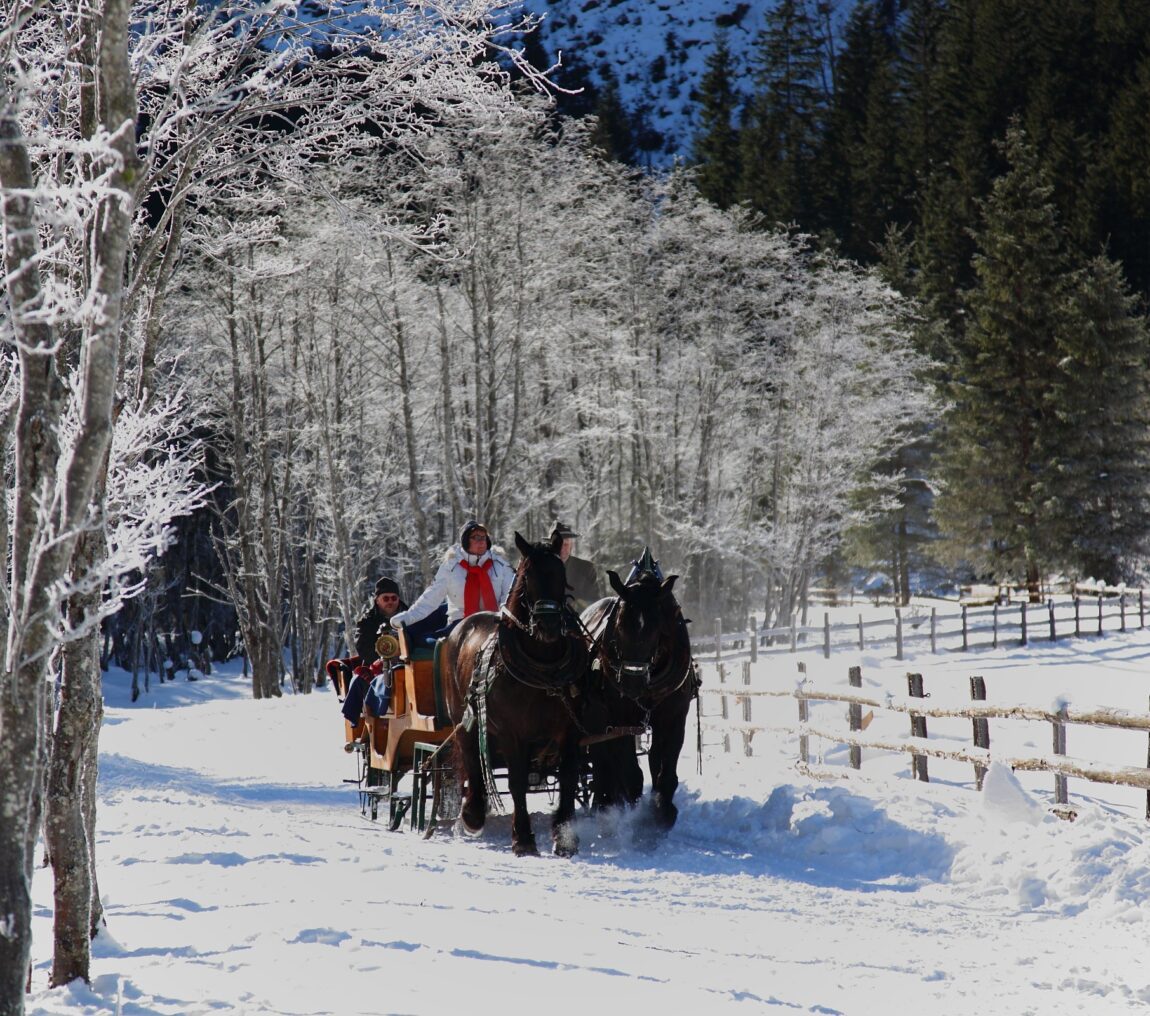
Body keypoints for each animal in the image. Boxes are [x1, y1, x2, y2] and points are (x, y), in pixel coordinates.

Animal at [437, 531, 588, 856]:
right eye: (527, 574)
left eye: (561, 573)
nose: (548, 625)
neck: (543, 666)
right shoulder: (512, 733)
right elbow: (517, 782)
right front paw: (523, 838)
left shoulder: (570, 729)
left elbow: (569, 778)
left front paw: (565, 837)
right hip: (464, 720)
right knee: (472, 760)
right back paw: (473, 814)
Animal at [579, 556, 694, 833]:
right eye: (619, 625)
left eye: (657, 627)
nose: (632, 683)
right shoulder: (619, 720)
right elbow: (631, 773)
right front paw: (638, 819)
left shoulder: (674, 717)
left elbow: (664, 767)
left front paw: (663, 811)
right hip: (594, 720)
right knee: (602, 761)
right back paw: (604, 804)